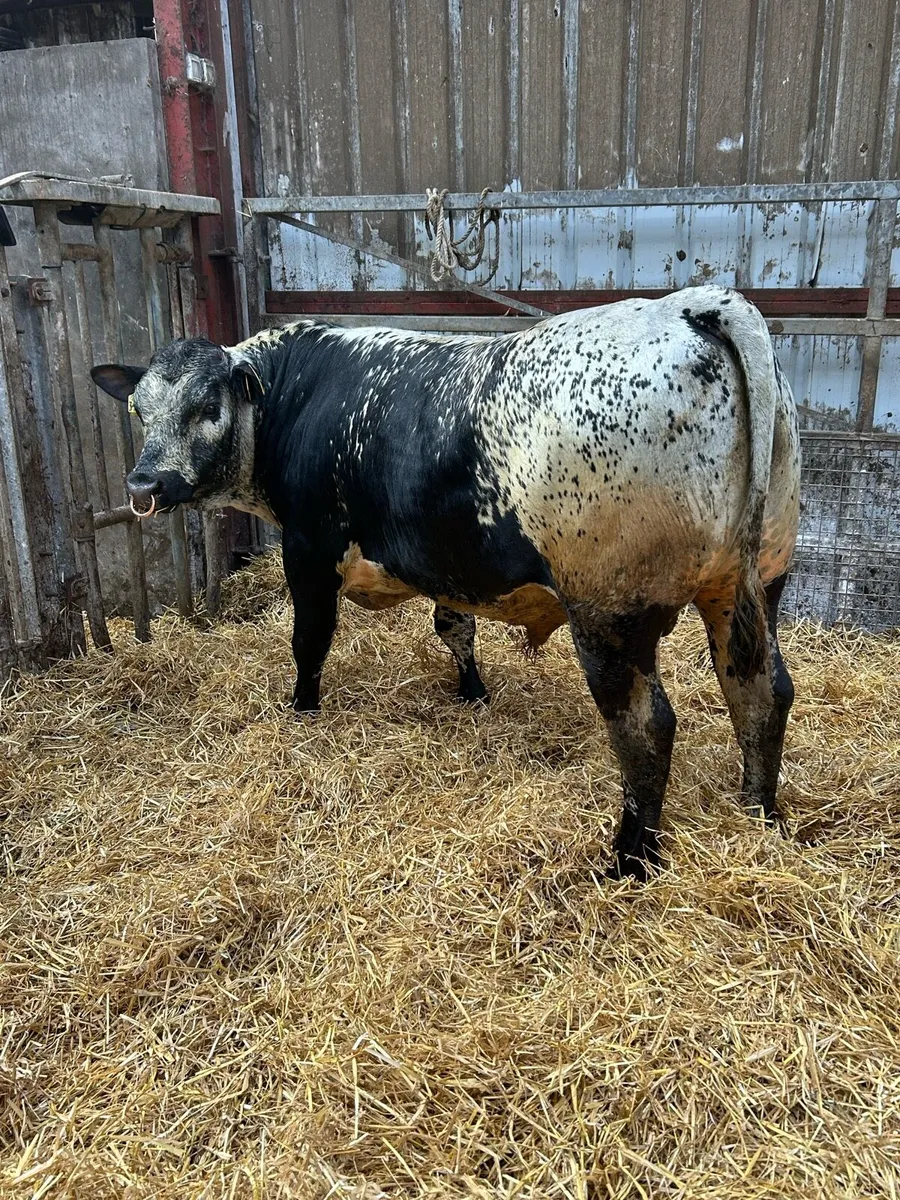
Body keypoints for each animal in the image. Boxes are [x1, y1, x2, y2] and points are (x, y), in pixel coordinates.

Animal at [92, 285, 800, 880]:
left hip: (610, 611)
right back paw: (759, 814)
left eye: (207, 407)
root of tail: (688, 304)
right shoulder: (445, 562)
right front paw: (472, 694)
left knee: (647, 726)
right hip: (753, 583)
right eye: (138, 407)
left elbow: (309, 642)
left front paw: (304, 710)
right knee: (761, 691)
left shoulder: (309, 549)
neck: (294, 395)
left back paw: (630, 860)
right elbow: (453, 626)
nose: (144, 483)